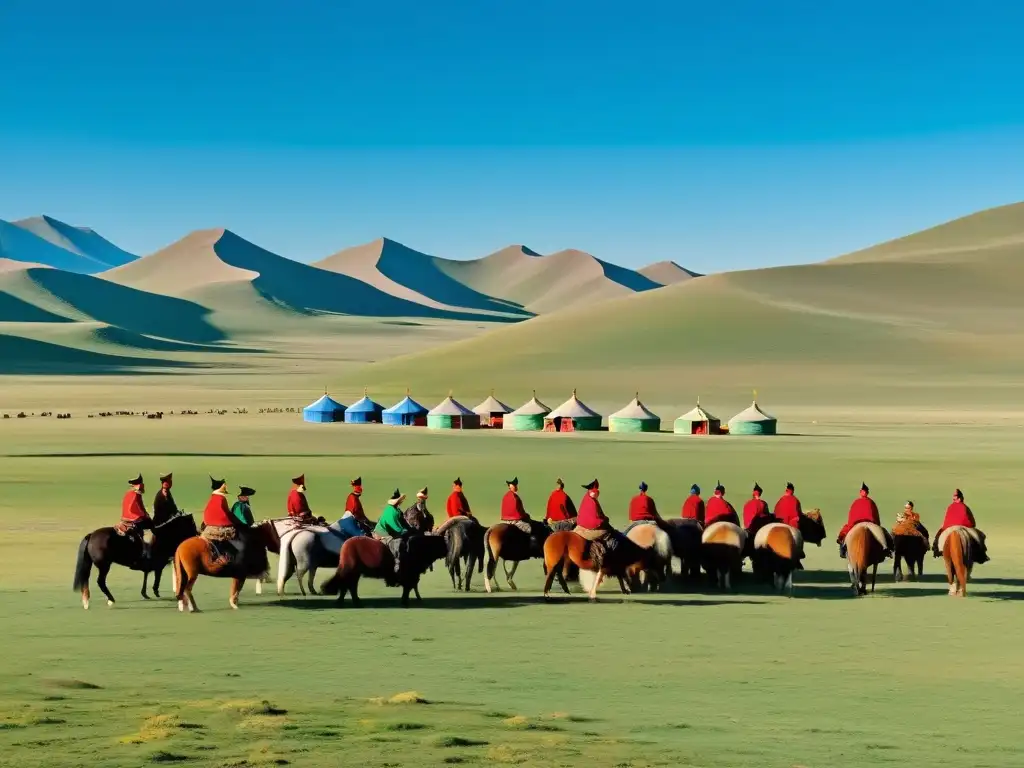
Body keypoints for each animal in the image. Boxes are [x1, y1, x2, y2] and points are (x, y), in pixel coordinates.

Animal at [319, 536, 448, 606]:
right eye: (443, 543)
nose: (448, 551)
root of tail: (345, 544)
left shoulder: (413, 576)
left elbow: (411, 588)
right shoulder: (410, 576)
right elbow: (408, 588)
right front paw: (405, 601)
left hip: (355, 573)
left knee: (350, 585)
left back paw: (353, 600)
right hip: (351, 571)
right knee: (347, 584)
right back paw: (347, 601)